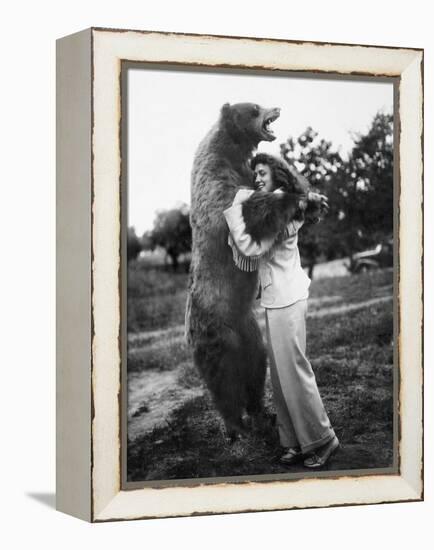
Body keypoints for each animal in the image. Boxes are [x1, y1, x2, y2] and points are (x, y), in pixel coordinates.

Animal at [185, 102, 304, 440]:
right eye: (253, 108)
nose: (275, 106)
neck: (230, 149)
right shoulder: (216, 185)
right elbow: (245, 210)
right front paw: (293, 195)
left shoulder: (244, 173)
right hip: (217, 333)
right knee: (224, 382)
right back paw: (235, 425)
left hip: (249, 329)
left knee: (256, 367)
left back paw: (263, 415)